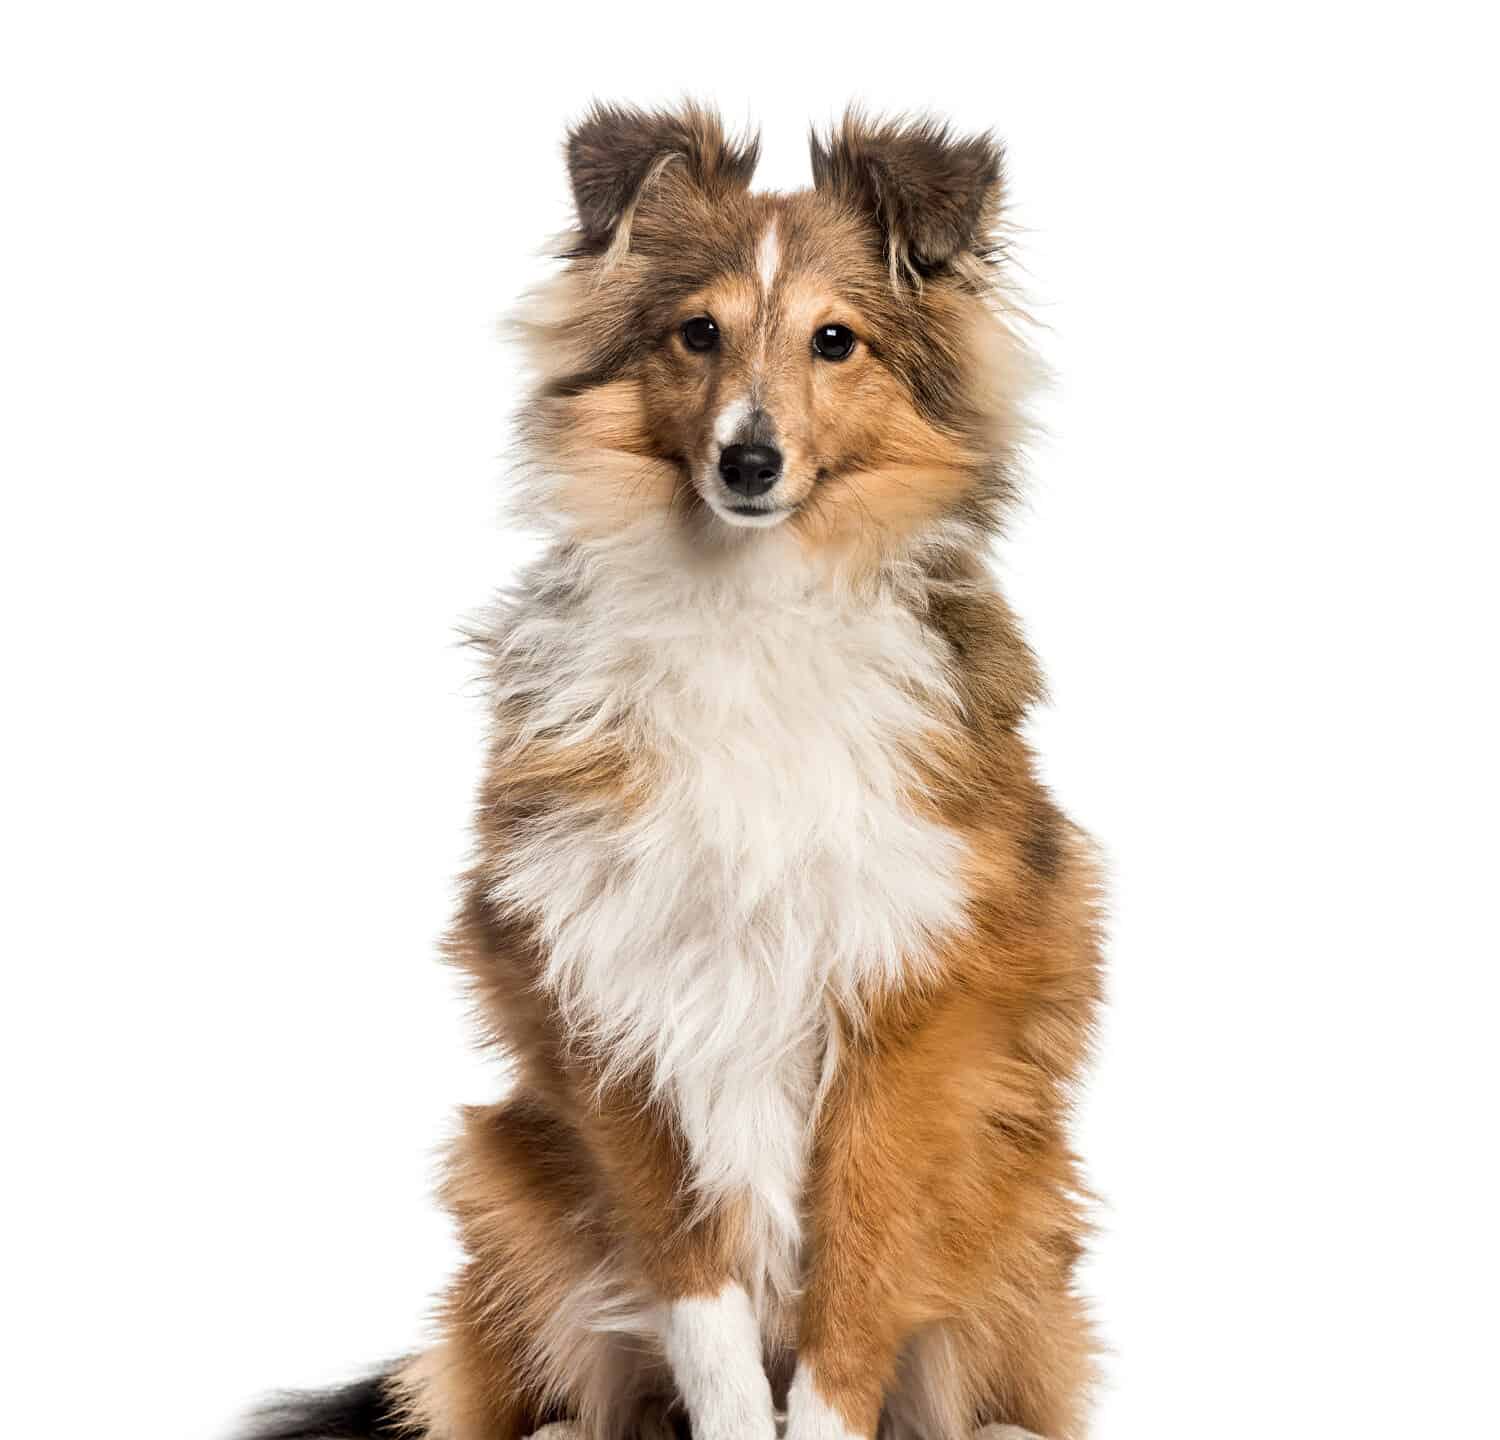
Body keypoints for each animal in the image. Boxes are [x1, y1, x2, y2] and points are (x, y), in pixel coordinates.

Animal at [243, 101, 1104, 1440]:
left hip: (1023, 1204)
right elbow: (695, 1282)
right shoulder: (608, 980)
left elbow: (858, 1274)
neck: (747, 603)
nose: (749, 463)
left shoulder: (913, 1003)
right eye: (698, 332)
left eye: (835, 341)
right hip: (506, 1177)